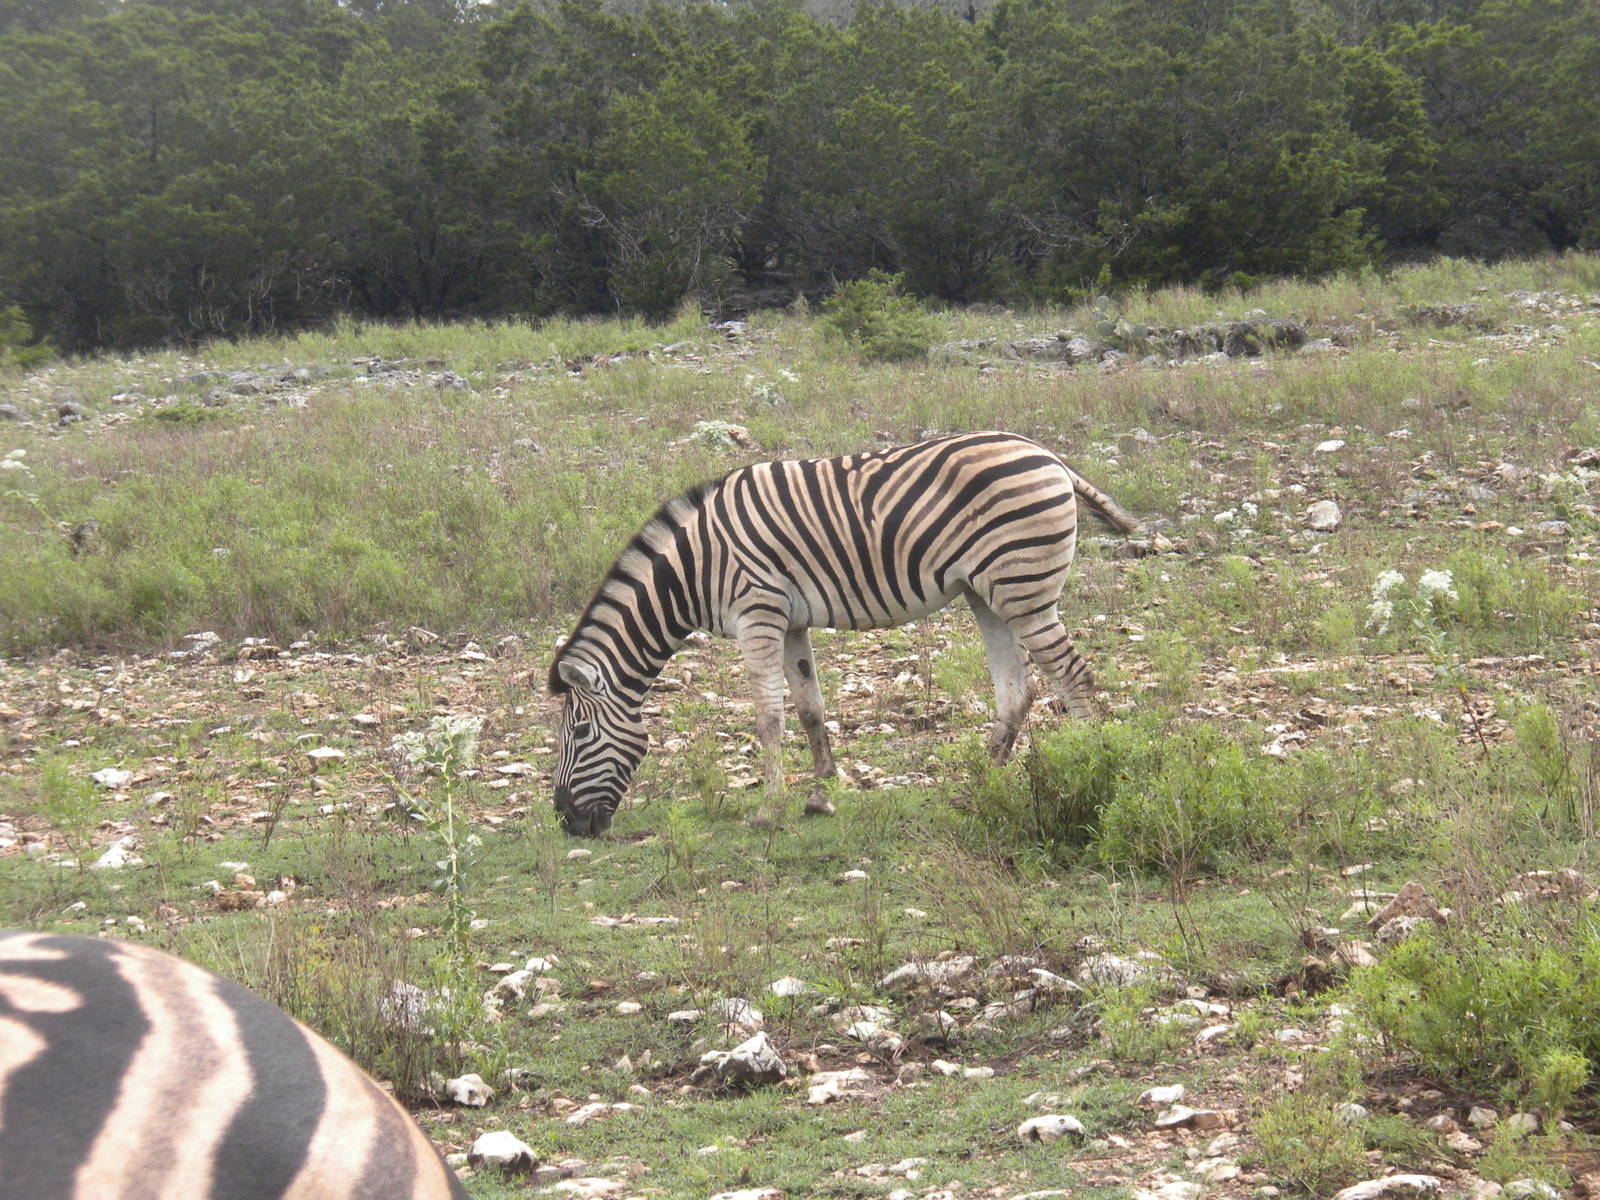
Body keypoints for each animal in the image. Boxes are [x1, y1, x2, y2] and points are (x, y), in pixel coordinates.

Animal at [549, 430, 1139, 836]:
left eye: (580, 733)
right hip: (988, 593)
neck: (692, 569)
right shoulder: (790, 621)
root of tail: (1049, 456)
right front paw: (821, 794)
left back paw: (1096, 774)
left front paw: (770, 810)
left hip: (1024, 589)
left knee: (1075, 679)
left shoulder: (757, 611)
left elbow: (768, 716)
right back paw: (979, 786)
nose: (567, 822)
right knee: (1019, 690)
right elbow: (810, 707)